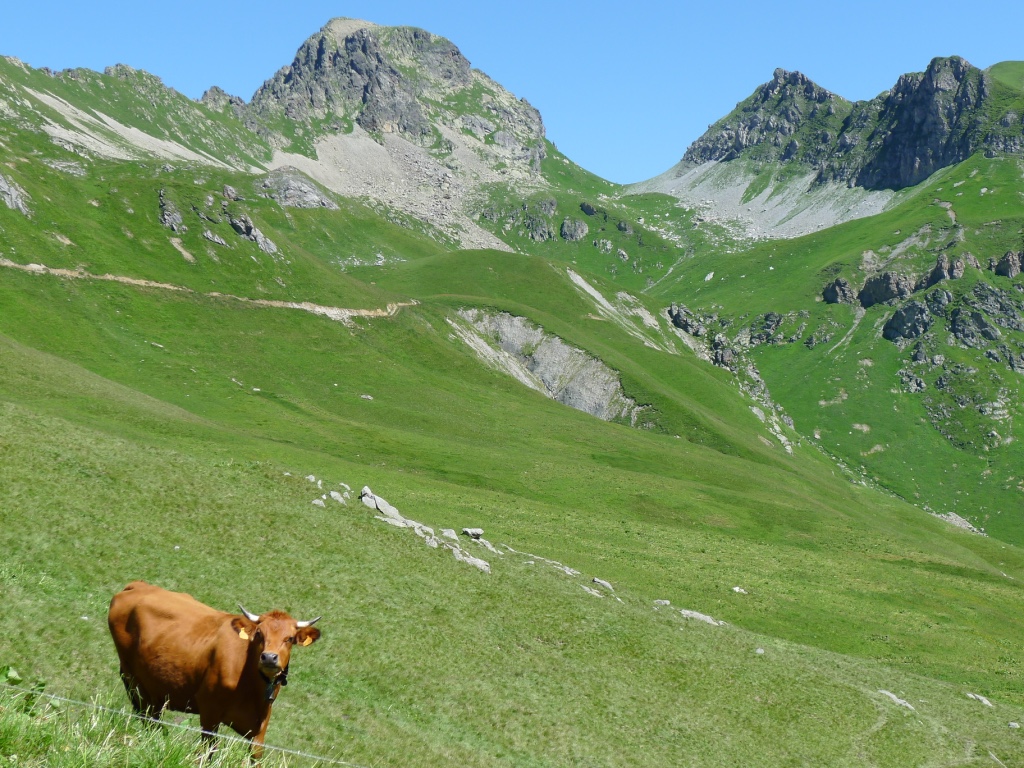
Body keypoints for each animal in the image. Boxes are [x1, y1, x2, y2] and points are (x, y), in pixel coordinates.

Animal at [105, 581, 317, 757]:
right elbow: (207, 751)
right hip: (134, 682)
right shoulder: (209, 711)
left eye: (289, 638)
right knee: (147, 719)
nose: (269, 657)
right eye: (259, 634)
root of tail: (138, 585)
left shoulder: (261, 722)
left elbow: (256, 755)